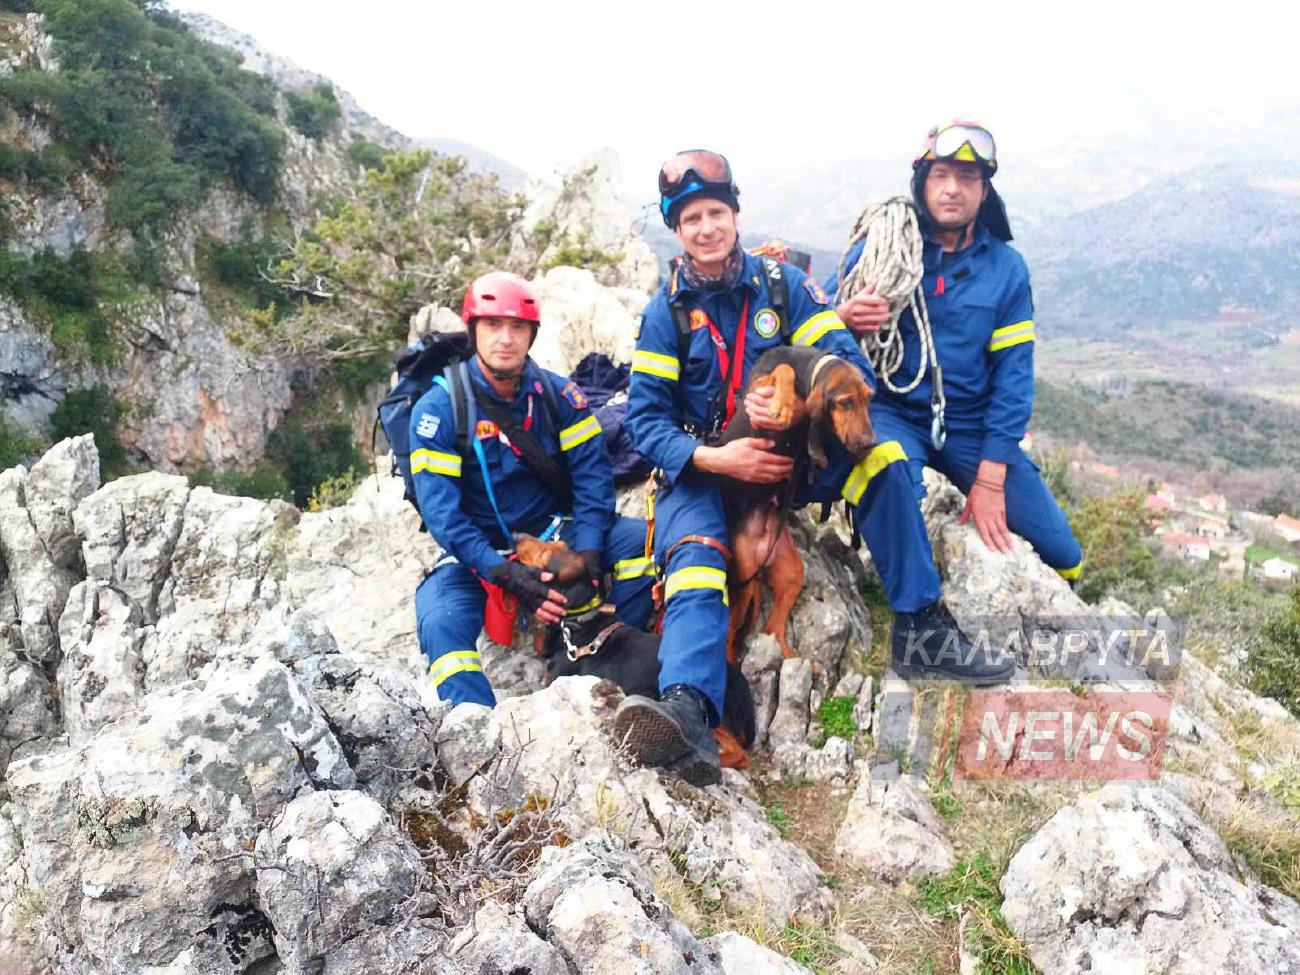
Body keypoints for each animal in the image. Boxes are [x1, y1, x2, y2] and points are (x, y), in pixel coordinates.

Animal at [712, 345, 873, 665]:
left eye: (868, 399)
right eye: (846, 403)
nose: (870, 444)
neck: (806, 370)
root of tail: (763, 548)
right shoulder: (759, 399)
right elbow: (782, 371)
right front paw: (785, 405)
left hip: (790, 572)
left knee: (773, 628)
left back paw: (796, 660)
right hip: (742, 578)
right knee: (729, 634)